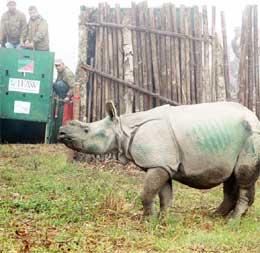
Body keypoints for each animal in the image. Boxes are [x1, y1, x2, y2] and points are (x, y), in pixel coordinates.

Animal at [58, 102, 260, 220]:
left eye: (86, 130)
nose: (61, 132)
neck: (122, 128)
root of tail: (254, 117)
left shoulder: (158, 165)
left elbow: (147, 193)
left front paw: (147, 220)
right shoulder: (163, 164)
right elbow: (165, 195)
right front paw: (163, 219)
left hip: (252, 136)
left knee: (242, 177)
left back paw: (232, 221)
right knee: (231, 178)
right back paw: (215, 216)